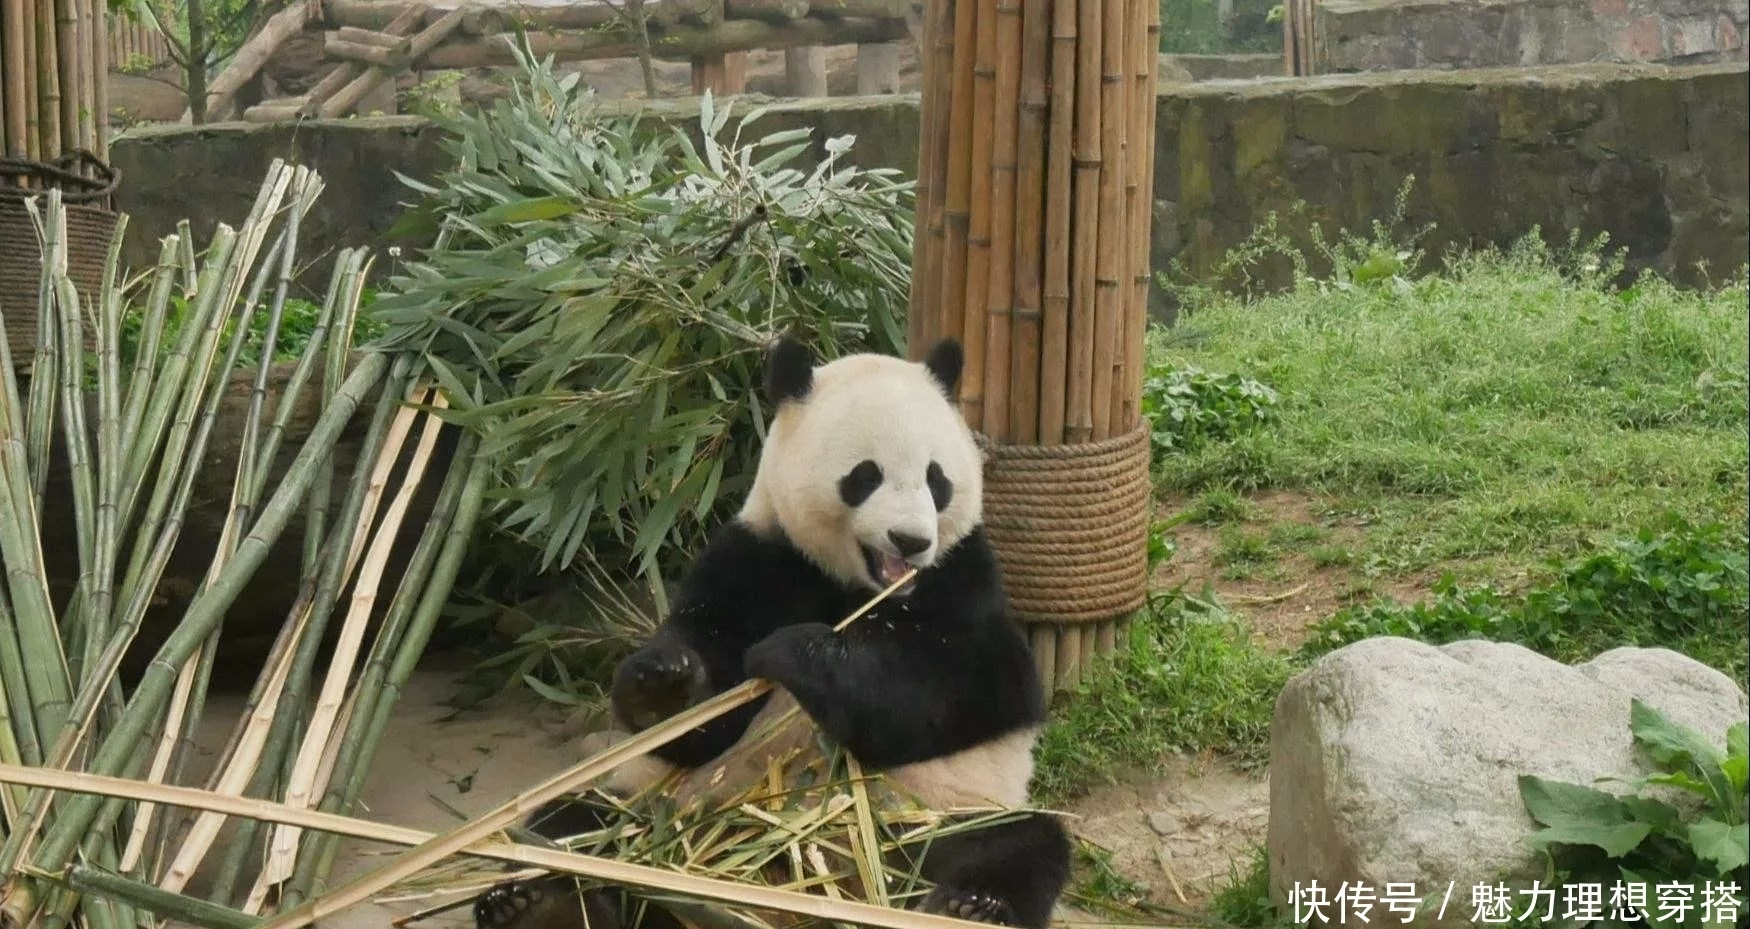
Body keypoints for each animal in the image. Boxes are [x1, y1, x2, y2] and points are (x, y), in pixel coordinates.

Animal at [479, 334, 1071, 929]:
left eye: (937, 479)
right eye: (866, 476)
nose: (910, 541)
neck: (862, 587)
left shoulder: (966, 580)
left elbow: (959, 689)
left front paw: (795, 651)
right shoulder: (760, 556)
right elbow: (702, 716)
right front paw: (662, 681)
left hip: (934, 812)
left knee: (1014, 843)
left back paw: (971, 906)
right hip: (655, 803)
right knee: (569, 825)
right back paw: (537, 902)